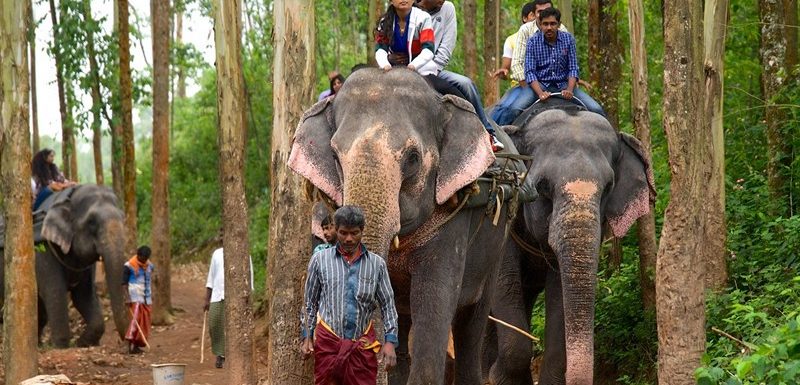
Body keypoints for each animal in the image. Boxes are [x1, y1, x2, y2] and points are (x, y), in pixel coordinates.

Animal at [0, 184, 128, 348]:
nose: (127, 343)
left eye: (123, 218)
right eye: (91, 222)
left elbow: (83, 295)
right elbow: (55, 291)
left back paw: (38, 345)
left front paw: (82, 343)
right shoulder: (42, 249)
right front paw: (61, 346)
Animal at [290, 67, 516, 382]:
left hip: (498, 242)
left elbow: (433, 305)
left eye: (412, 158)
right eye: (335, 156)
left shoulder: (453, 218)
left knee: (472, 322)